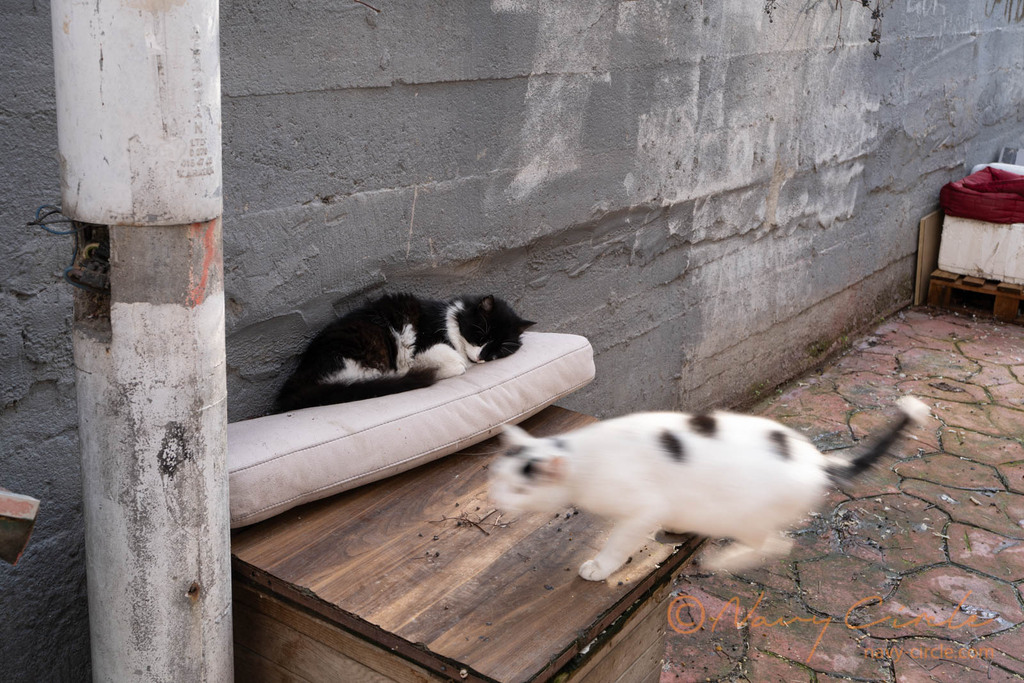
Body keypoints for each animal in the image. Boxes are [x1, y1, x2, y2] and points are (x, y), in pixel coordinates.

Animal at [491, 395, 933, 581]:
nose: (496, 499)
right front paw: (674, 528)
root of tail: (817, 461)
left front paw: (599, 567)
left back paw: (722, 561)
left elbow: (617, 542)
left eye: (518, 489)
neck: (581, 456)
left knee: (777, 544)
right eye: (497, 479)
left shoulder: (641, 508)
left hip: (747, 517)